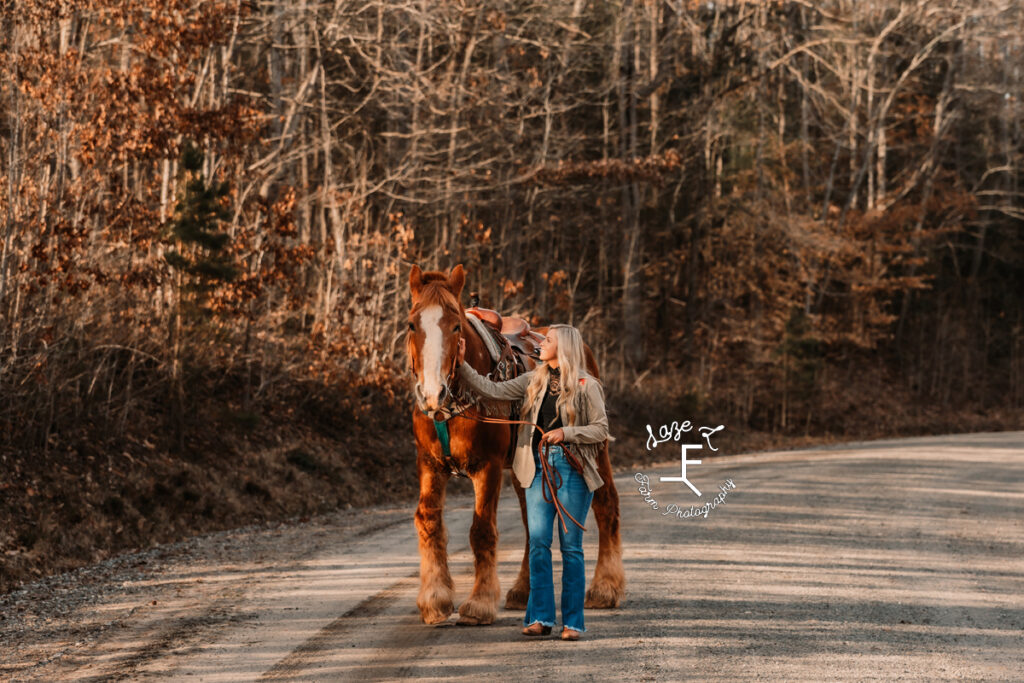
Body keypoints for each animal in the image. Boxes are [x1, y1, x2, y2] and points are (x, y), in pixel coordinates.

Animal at [407, 262, 622, 626]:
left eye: (455, 326)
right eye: (412, 325)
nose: (432, 392)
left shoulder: (488, 466)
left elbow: (482, 530)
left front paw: (479, 604)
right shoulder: (429, 464)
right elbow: (429, 521)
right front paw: (434, 599)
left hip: (596, 449)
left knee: (606, 505)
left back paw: (605, 589)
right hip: (530, 467)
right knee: (530, 522)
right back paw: (524, 591)